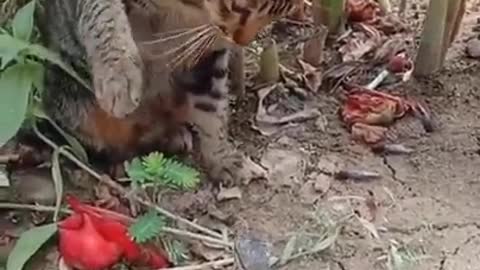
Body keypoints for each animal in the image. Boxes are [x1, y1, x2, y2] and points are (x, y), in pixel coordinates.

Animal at [36, 0, 300, 185]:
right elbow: (102, 13)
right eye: (239, 8)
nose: (241, 41)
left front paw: (222, 158)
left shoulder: (206, 56)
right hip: (72, 103)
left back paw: (171, 135)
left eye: (275, 16)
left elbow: (212, 109)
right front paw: (118, 72)